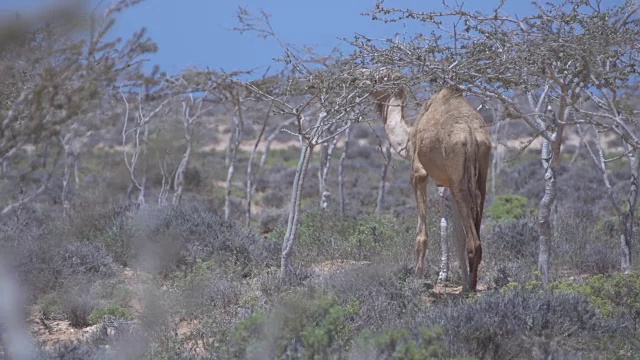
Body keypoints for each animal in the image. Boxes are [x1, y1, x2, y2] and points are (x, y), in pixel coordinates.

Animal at [370, 74, 490, 292]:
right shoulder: (448, 182)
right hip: (479, 171)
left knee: (474, 241)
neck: (408, 138)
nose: (354, 80)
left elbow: (422, 235)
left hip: (459, 173)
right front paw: (460, 281)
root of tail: (470, 134)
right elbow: (457, 236)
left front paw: (417, 278)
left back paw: (470, 287)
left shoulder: (418, 173)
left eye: (378, 78)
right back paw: (469, 285)